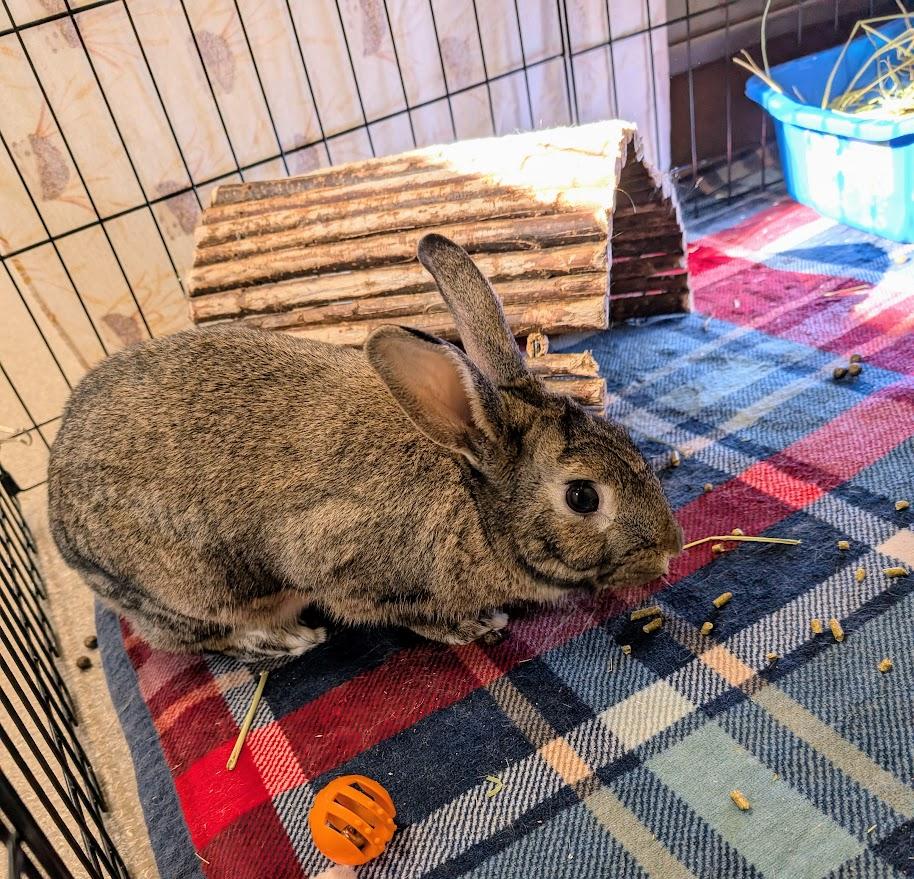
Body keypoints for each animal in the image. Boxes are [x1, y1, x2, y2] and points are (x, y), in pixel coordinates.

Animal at [47, 234, 682, 661]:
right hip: (192, 591)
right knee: (207, 635)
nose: (671, 549)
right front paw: (473, 627)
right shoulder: (348, 573)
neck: (476, 504)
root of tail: (55, 513)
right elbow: (404, 614)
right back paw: (288, 639)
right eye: (582, 497)